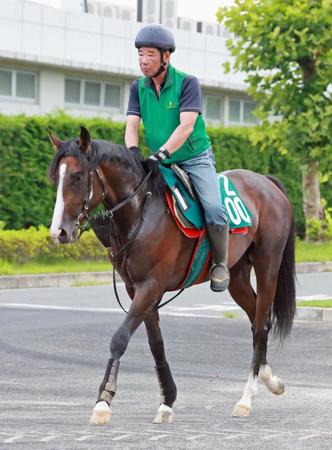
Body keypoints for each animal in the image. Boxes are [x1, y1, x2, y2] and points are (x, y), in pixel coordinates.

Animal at [48, 125, 296, 426]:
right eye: (56, 178)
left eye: (77, 176)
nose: (59, 232)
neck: (142, 211)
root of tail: (267, 184)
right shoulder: (136, 289)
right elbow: (156, 344)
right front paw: (167, 400)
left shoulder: (151, 286)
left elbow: (120, 338)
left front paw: (103, 401)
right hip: (237, 277)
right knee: (258, 319)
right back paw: (269, 378)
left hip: (267, 264)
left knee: (260, 326)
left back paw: (246, 399)